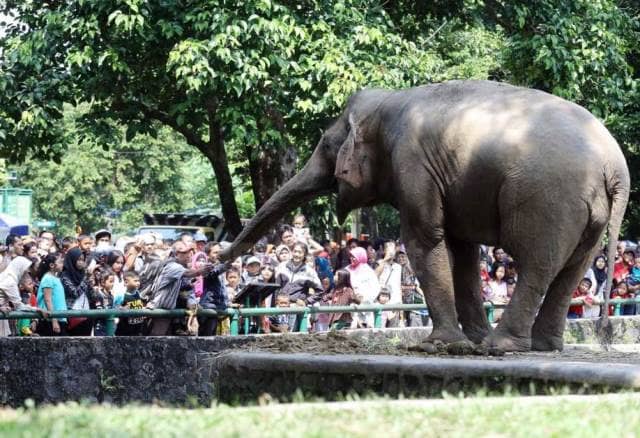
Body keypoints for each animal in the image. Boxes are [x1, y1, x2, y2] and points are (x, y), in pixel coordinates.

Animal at [224, 79, 632, 352]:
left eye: (326, 146)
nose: (219, 259)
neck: (388, 101)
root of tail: (615, 166)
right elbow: (462, 252)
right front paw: (468, 341)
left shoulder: (413, 164)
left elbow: (425, 239)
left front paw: (437, 345)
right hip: (587, 214)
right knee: (573, 268)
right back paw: (538, 346)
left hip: (547, 200)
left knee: (537, 264)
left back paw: (501, 347)